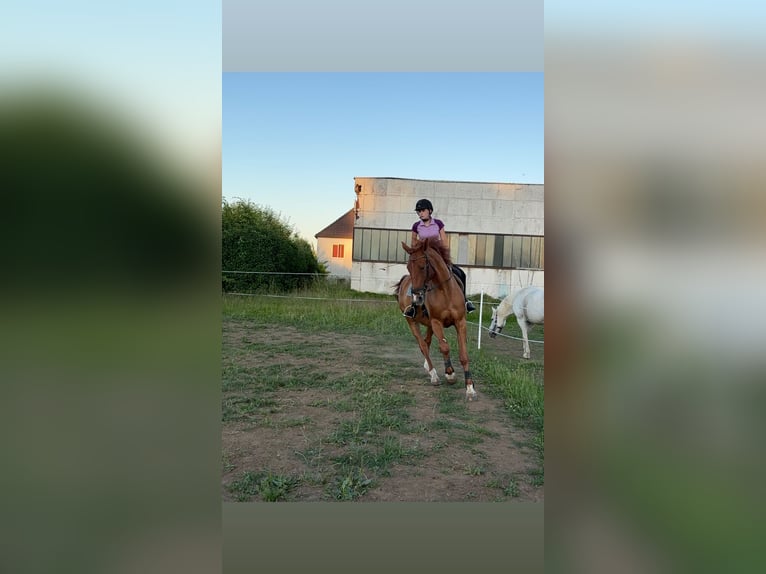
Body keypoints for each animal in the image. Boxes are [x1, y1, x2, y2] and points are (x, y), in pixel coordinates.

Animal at [394, 238, 477, 401]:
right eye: (408, 267)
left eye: (422, 266)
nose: (416, 297)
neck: (445, 292)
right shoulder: (436, 322)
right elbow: (444, 347)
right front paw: (450, 374)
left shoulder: (460, 322)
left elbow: (464, 355)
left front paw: (470, 388)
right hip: (412, 322)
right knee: (423, 345)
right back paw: (433, 375)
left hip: (428, 324)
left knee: (427, 341)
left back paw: (427, 366)